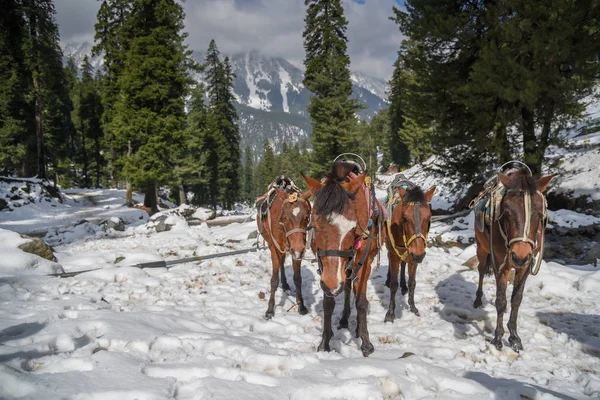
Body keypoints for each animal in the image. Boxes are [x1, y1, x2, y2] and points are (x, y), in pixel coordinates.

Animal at [255, 184, 312, 318]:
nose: (298, 250)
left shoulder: (296, 251)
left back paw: (285, 284)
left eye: (307, 217)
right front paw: (270, 309)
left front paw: (301, 305)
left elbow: (297, 279)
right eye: (285, 217)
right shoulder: (275, 248)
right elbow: (274, 280)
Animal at [302, 161, 386, 358]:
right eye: (314, 225)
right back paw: (345, 319)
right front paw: (325, 342)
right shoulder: (324, 268)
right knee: (347, 288)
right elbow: (328, 302)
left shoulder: (364, 261)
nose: (333, 284)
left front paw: (366, 343)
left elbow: (361, 301)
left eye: (353, 227)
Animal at [384, 177, 436, 318]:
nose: (418, 254)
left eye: (429, 218)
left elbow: (412, 283)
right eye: (404, 218)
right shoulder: (394, 255)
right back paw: (388, 279)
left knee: (403, 264)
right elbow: (393, 284)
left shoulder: (414, 258)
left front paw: (413, 307)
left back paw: (403, 285)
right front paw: (390, 312)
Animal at [474, 167, 552, 352]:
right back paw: (478, 299)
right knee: (481, 269)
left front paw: (515, 337)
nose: (519, 256)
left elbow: (516, 300)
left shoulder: (525, 267)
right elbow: (501, 302)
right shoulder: (501, 266)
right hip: (481, 248)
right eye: (507, 212)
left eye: (540, 214)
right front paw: (498, 338)